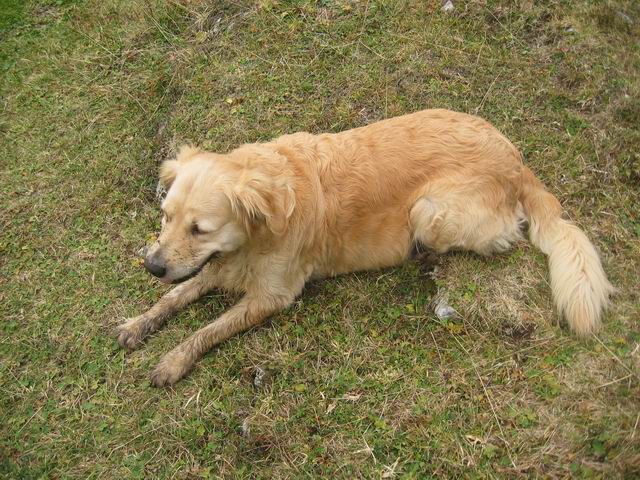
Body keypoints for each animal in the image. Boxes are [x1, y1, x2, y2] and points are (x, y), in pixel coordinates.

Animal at [116, 109, 616, 386]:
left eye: (200, 228)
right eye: (166, 216)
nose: (152, 266)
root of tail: (516, 161)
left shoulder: (272, 295)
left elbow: (208, 329)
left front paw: (174, 360)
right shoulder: (219, 266)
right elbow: (176, 295)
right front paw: (139, 324)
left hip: (428, 211)